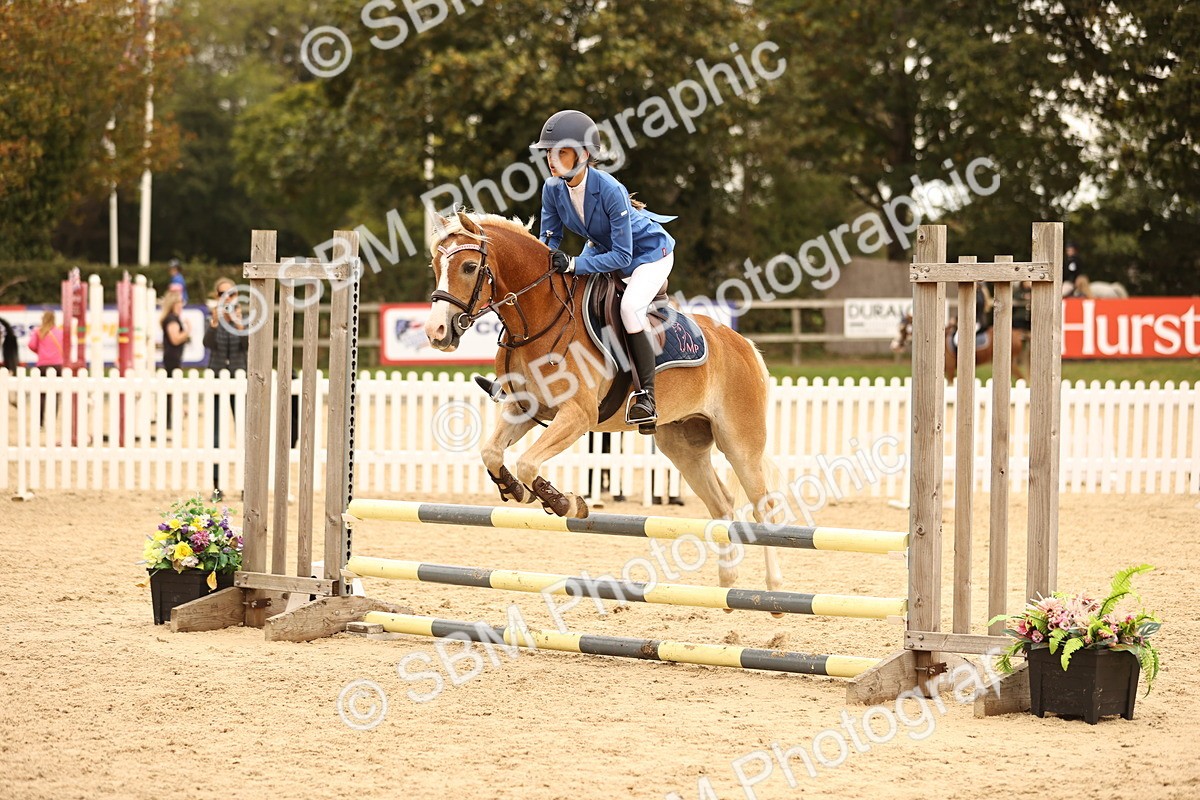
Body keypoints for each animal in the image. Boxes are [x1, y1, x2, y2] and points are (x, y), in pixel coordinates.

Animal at [424, 211, 784, 591]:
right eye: (435, 265)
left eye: (468, 266)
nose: (436, 333)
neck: (541, 316)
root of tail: (742, 345)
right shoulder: (525, 408)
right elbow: (492, 453)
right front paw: (514, 489)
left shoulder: (578, 415)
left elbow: (528, 463)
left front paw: (566, 503)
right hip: (684, 445)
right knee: (722, 505)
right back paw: (727, 580)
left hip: (739, 443)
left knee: (763, 507)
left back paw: (773, 587)